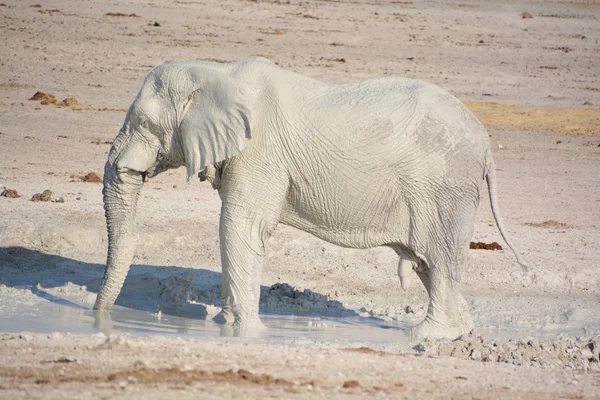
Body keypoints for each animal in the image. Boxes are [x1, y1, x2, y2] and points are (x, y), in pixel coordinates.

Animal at [92, 57, 524, 340]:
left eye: (144, 123)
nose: (97, 314)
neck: (218, 73)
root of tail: (486, 144)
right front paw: (222, 327)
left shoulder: (260, 152)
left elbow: (240, 226)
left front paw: (247, 332)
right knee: (427, 264)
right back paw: (455, 331)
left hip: (444, 188)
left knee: (439, 259)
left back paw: (428, 334)